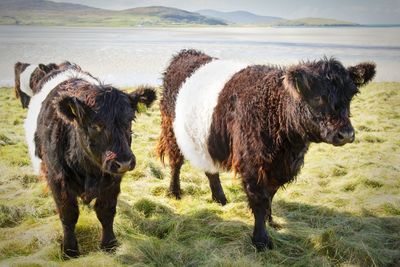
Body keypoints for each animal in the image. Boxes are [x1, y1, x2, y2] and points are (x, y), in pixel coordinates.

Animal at [25, 65, 156, 258]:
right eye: (95, 125)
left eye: (130, 121)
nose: (124, 162)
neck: (88, 170)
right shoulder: (57, 179)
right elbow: (68, 214)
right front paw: (70, 250)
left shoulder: (112, 179)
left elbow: (106, 212)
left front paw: (109, 245)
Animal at [158, 49, 376, 252]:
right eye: (318, 98)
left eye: (350, 95)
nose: (346, 134)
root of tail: (186, 53)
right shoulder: (253, 163)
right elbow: (260, 200)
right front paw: (261, 240)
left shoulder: (279, 167)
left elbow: (270, 195)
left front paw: (271, 222)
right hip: (171, 127)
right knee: (176, 161)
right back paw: (175, 192)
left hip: (205, 138)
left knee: (210, 169)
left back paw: (219, 198)